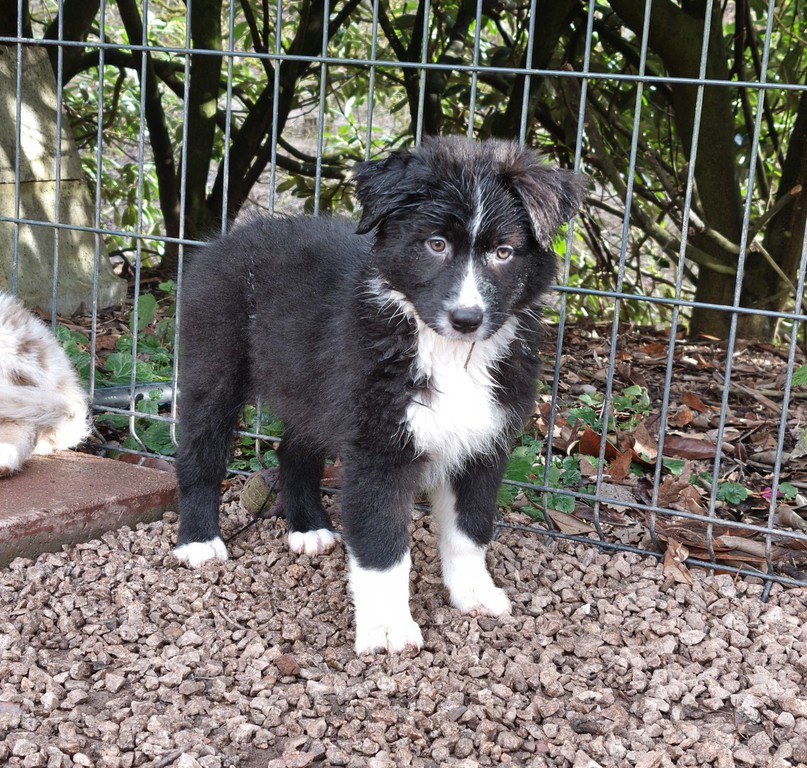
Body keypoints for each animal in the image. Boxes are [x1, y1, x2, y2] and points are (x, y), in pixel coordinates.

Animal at [174, 137, 585, 653]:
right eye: (436, 244)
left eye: (504, 252)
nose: (467, 319)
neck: (447, 353)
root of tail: (227, 238)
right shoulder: (379, 450)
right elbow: (383, 546)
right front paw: (388, 629)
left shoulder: (483, 444)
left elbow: (470, 530)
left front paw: (474, 594)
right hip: (216, 365)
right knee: (200, 452)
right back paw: (199, 541)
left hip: (317, 389)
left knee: (293, 449)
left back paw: (309, 528)